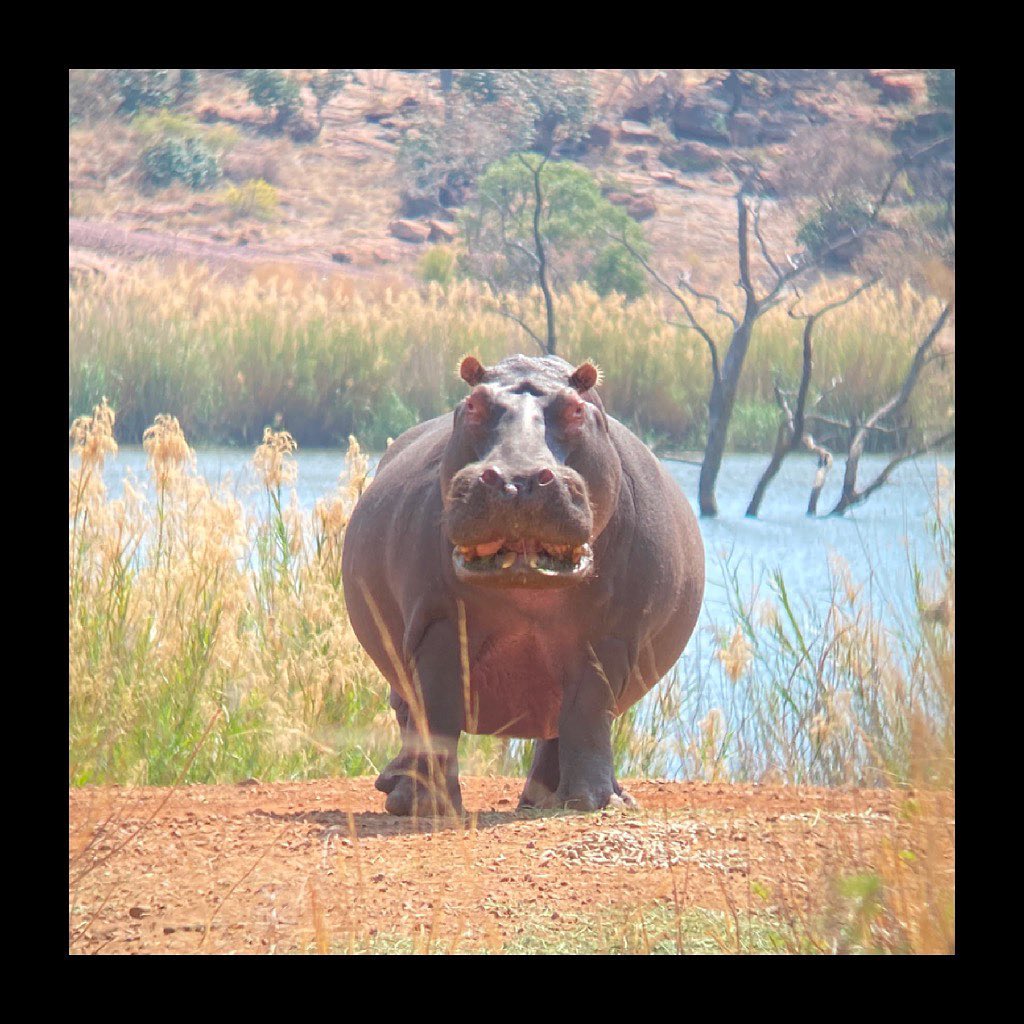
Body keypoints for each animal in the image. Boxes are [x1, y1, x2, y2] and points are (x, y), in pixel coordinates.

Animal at [341, 354, 704, 815]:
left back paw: (558, 800)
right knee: (409, 713)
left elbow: (588, 711)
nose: (517, 479)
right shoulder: (436, 624)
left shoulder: (613, 639)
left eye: (576, 408)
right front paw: (432, 807)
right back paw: (400, 795)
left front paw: (592, 803)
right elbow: (436, 711)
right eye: (473, 404)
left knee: (561, 731)